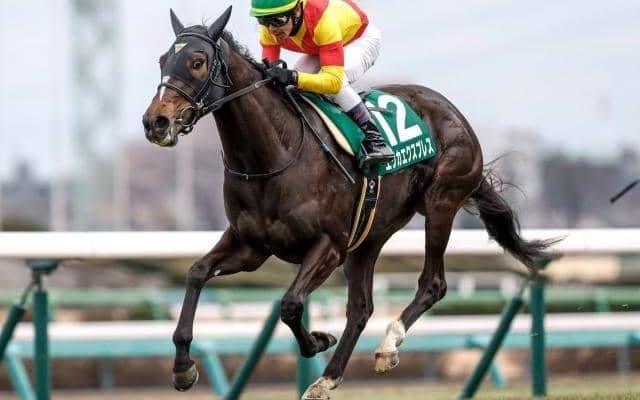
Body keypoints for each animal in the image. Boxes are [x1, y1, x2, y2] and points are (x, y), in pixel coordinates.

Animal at [142, 6, 554, 399]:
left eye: (197, 61)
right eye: (163, 60)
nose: (155, 122)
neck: (274, 154)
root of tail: (453, 112)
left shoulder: (329, 245)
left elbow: (290, 304)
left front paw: (318, 339)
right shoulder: (251, 246)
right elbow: (197, 272)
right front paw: (183, 368)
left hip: (441, 204)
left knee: (433, 283)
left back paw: (388, 346)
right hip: (369, 235)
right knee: (361, 307)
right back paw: (326, 379)